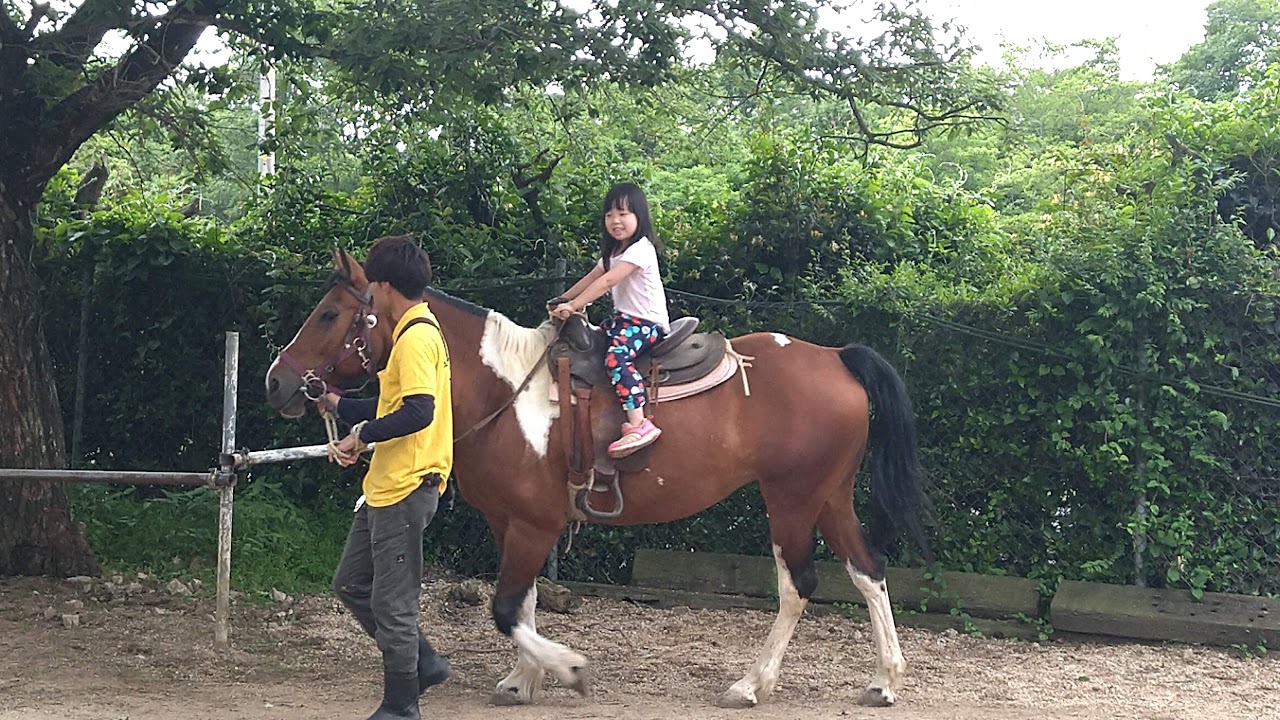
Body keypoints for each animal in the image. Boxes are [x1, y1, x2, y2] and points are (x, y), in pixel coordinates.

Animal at [264, 249, 932, 709]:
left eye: (329, 313)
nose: (277, 381)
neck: (507, 391)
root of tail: (836, 357)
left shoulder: (536, 523)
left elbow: (506, 607)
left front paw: (564, 669)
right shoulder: (513, 521)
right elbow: (524, 602)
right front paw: (523, 678)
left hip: (790, 498)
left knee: (798, 585)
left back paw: (751, 684)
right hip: (830, 497)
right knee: (868, 570)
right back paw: (885, 680)